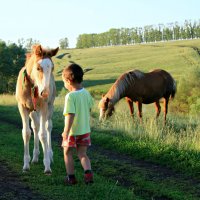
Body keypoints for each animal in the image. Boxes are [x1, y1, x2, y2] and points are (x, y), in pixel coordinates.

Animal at [15, 44, 58, 173]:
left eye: (52, 68)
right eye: (38, 68)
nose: (45, 93)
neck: (32, 87)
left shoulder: (44, 107)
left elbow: (43, 135)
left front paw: (47, 166)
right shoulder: (23, 108)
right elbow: (26, 133)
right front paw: (26, 165)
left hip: (49, 107)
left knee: (48, 127)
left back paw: (49, 154)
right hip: (33, 112)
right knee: (36, 126)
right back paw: (35, 157)